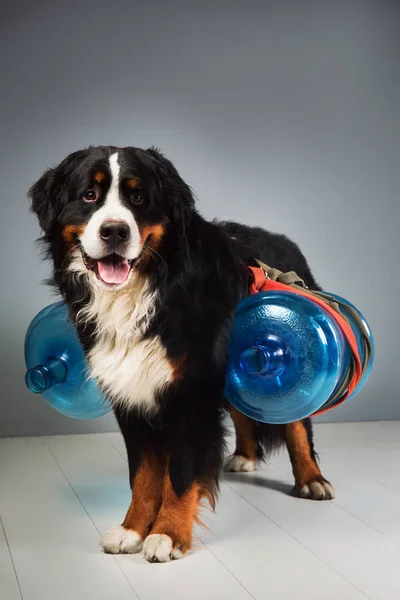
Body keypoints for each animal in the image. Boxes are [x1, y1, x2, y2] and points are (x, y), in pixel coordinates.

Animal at [28, 144, 334, 564]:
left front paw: (167, 534)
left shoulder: (191, 392)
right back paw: (245, 455)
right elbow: (143, 475)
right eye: (89, 195)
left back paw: (311, 479)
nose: (115, 231)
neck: (147, 291)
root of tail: (283, 241)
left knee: (298, 424)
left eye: (139, 198)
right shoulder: (131, 392)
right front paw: (131, 529)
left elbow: (182, 472)